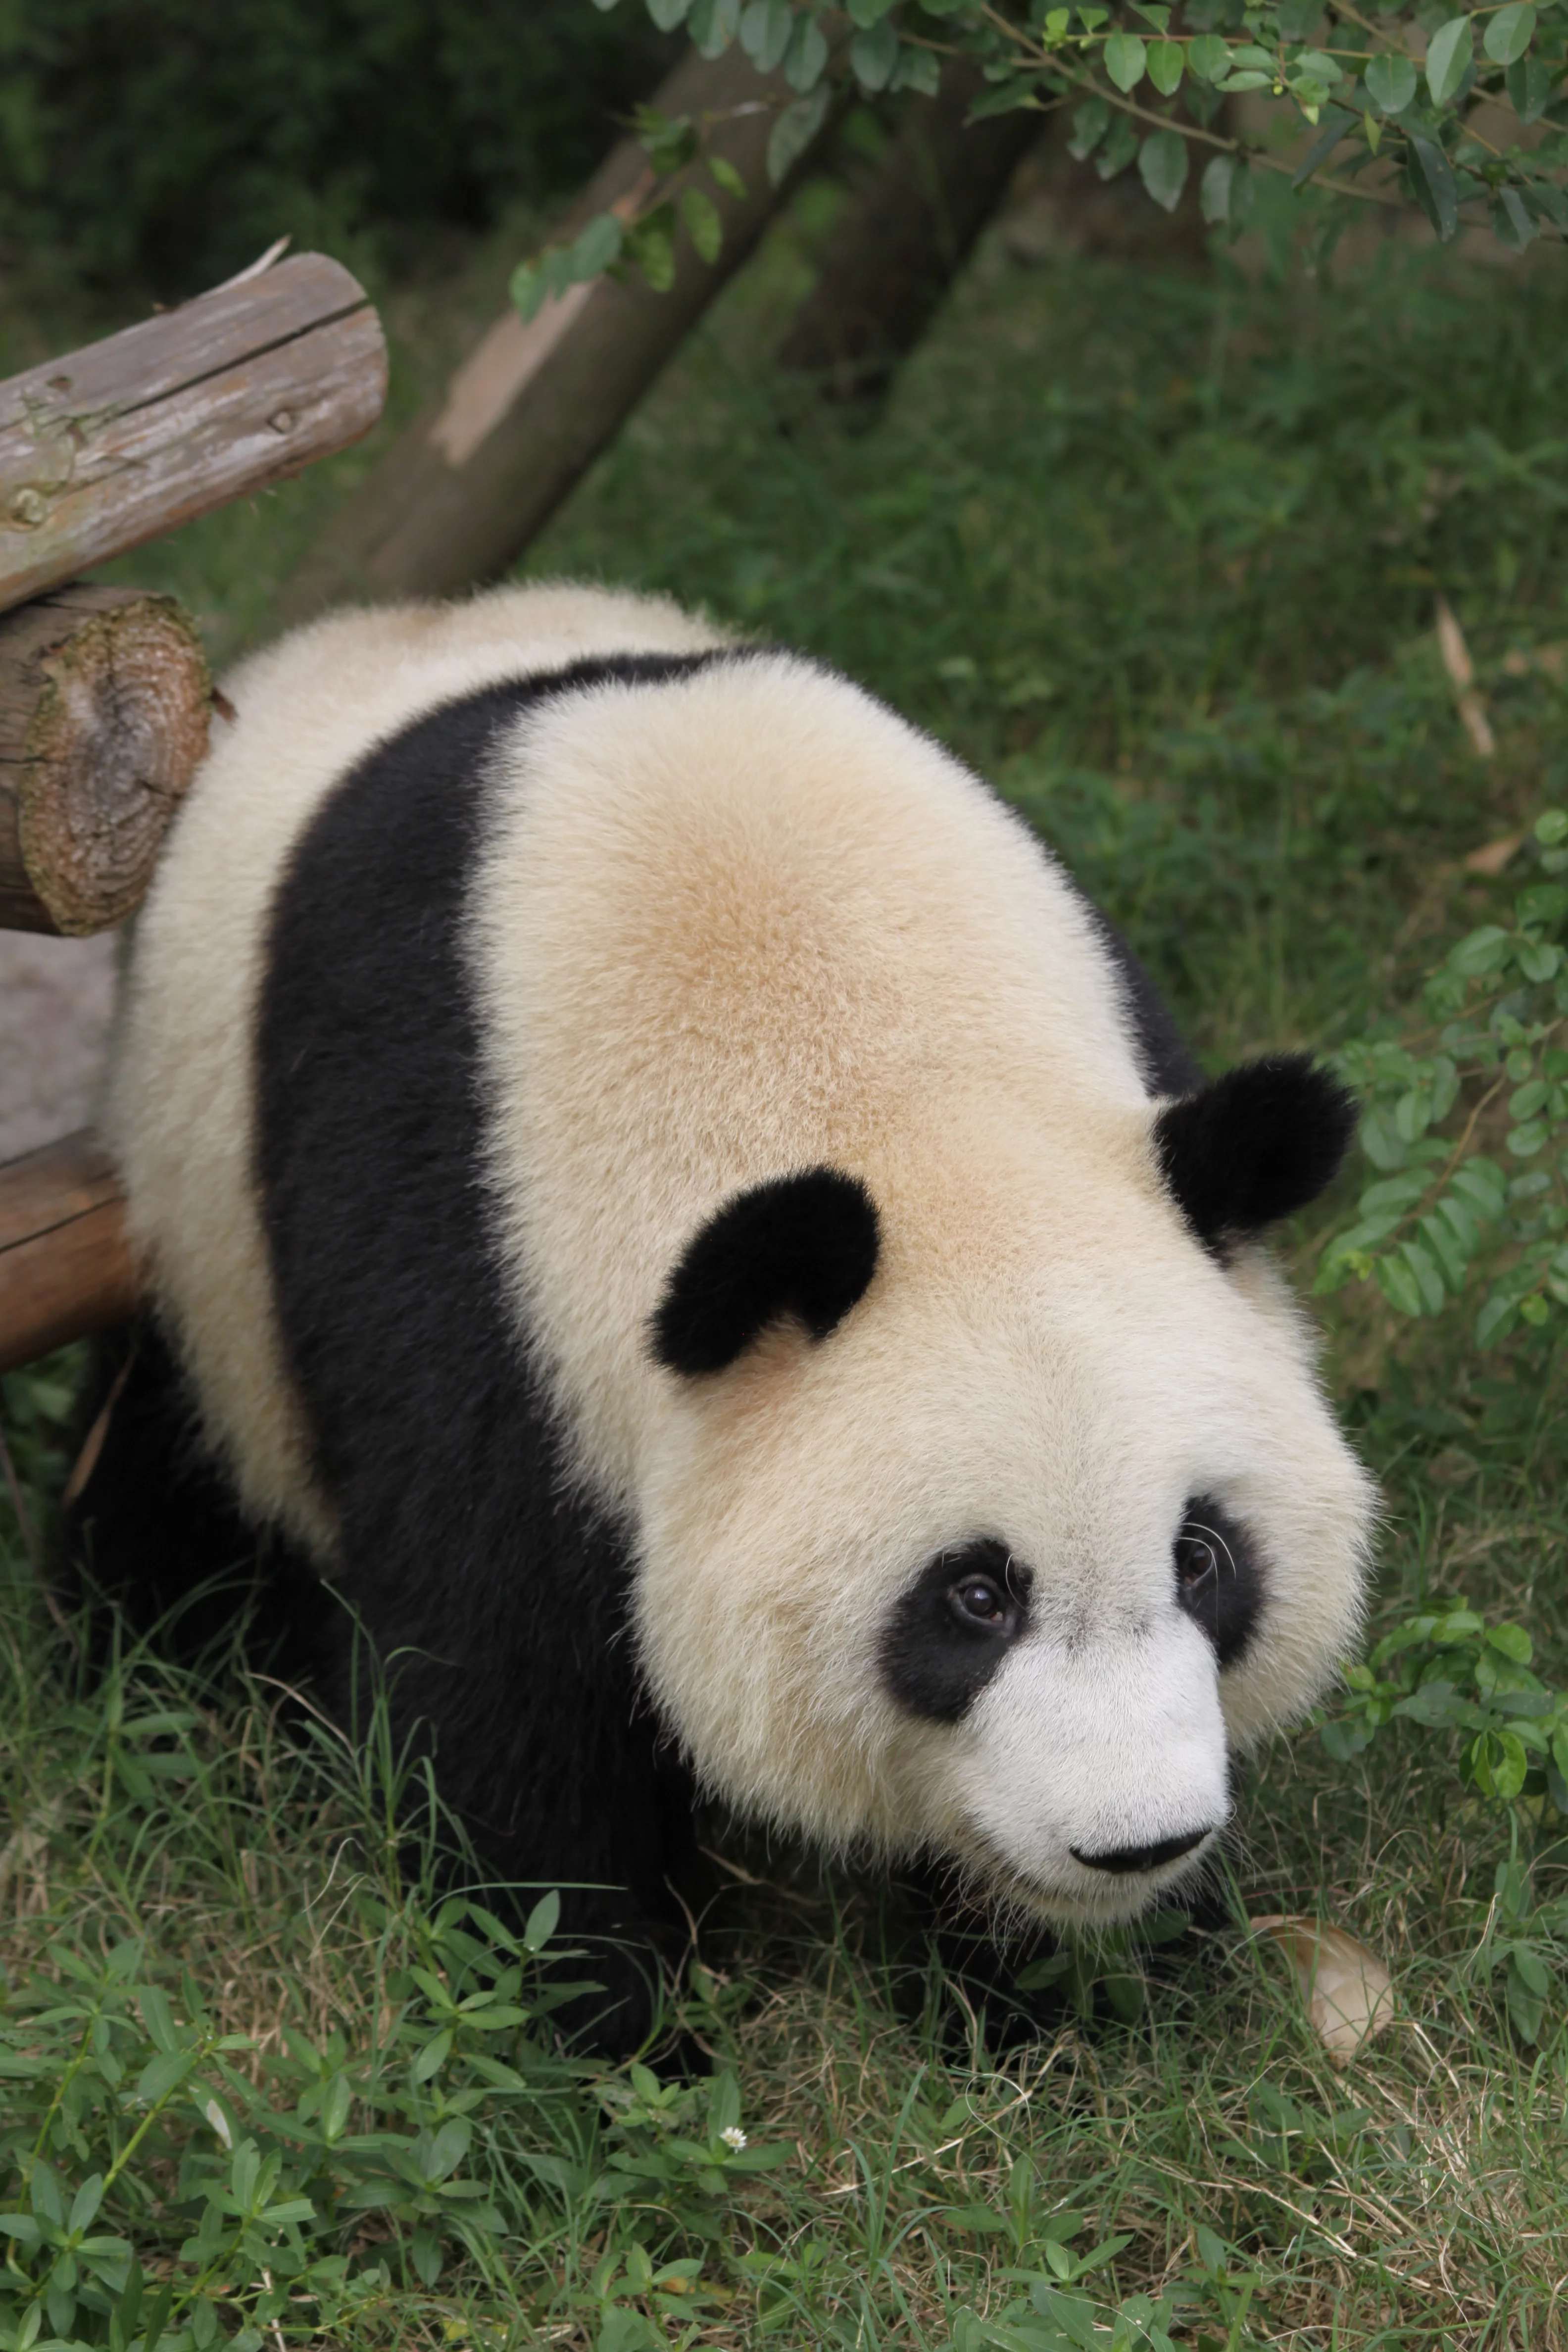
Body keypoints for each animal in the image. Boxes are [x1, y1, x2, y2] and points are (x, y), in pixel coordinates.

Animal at [72, 582, 1374, 2053]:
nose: (1134, 1841)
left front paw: (1071, 1997)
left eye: (1203, 1556)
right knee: (170, 1468)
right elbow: (503, 1688)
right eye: (973, 1596)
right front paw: (613, 2034)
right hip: (202, 1224)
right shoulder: (467, 1261)